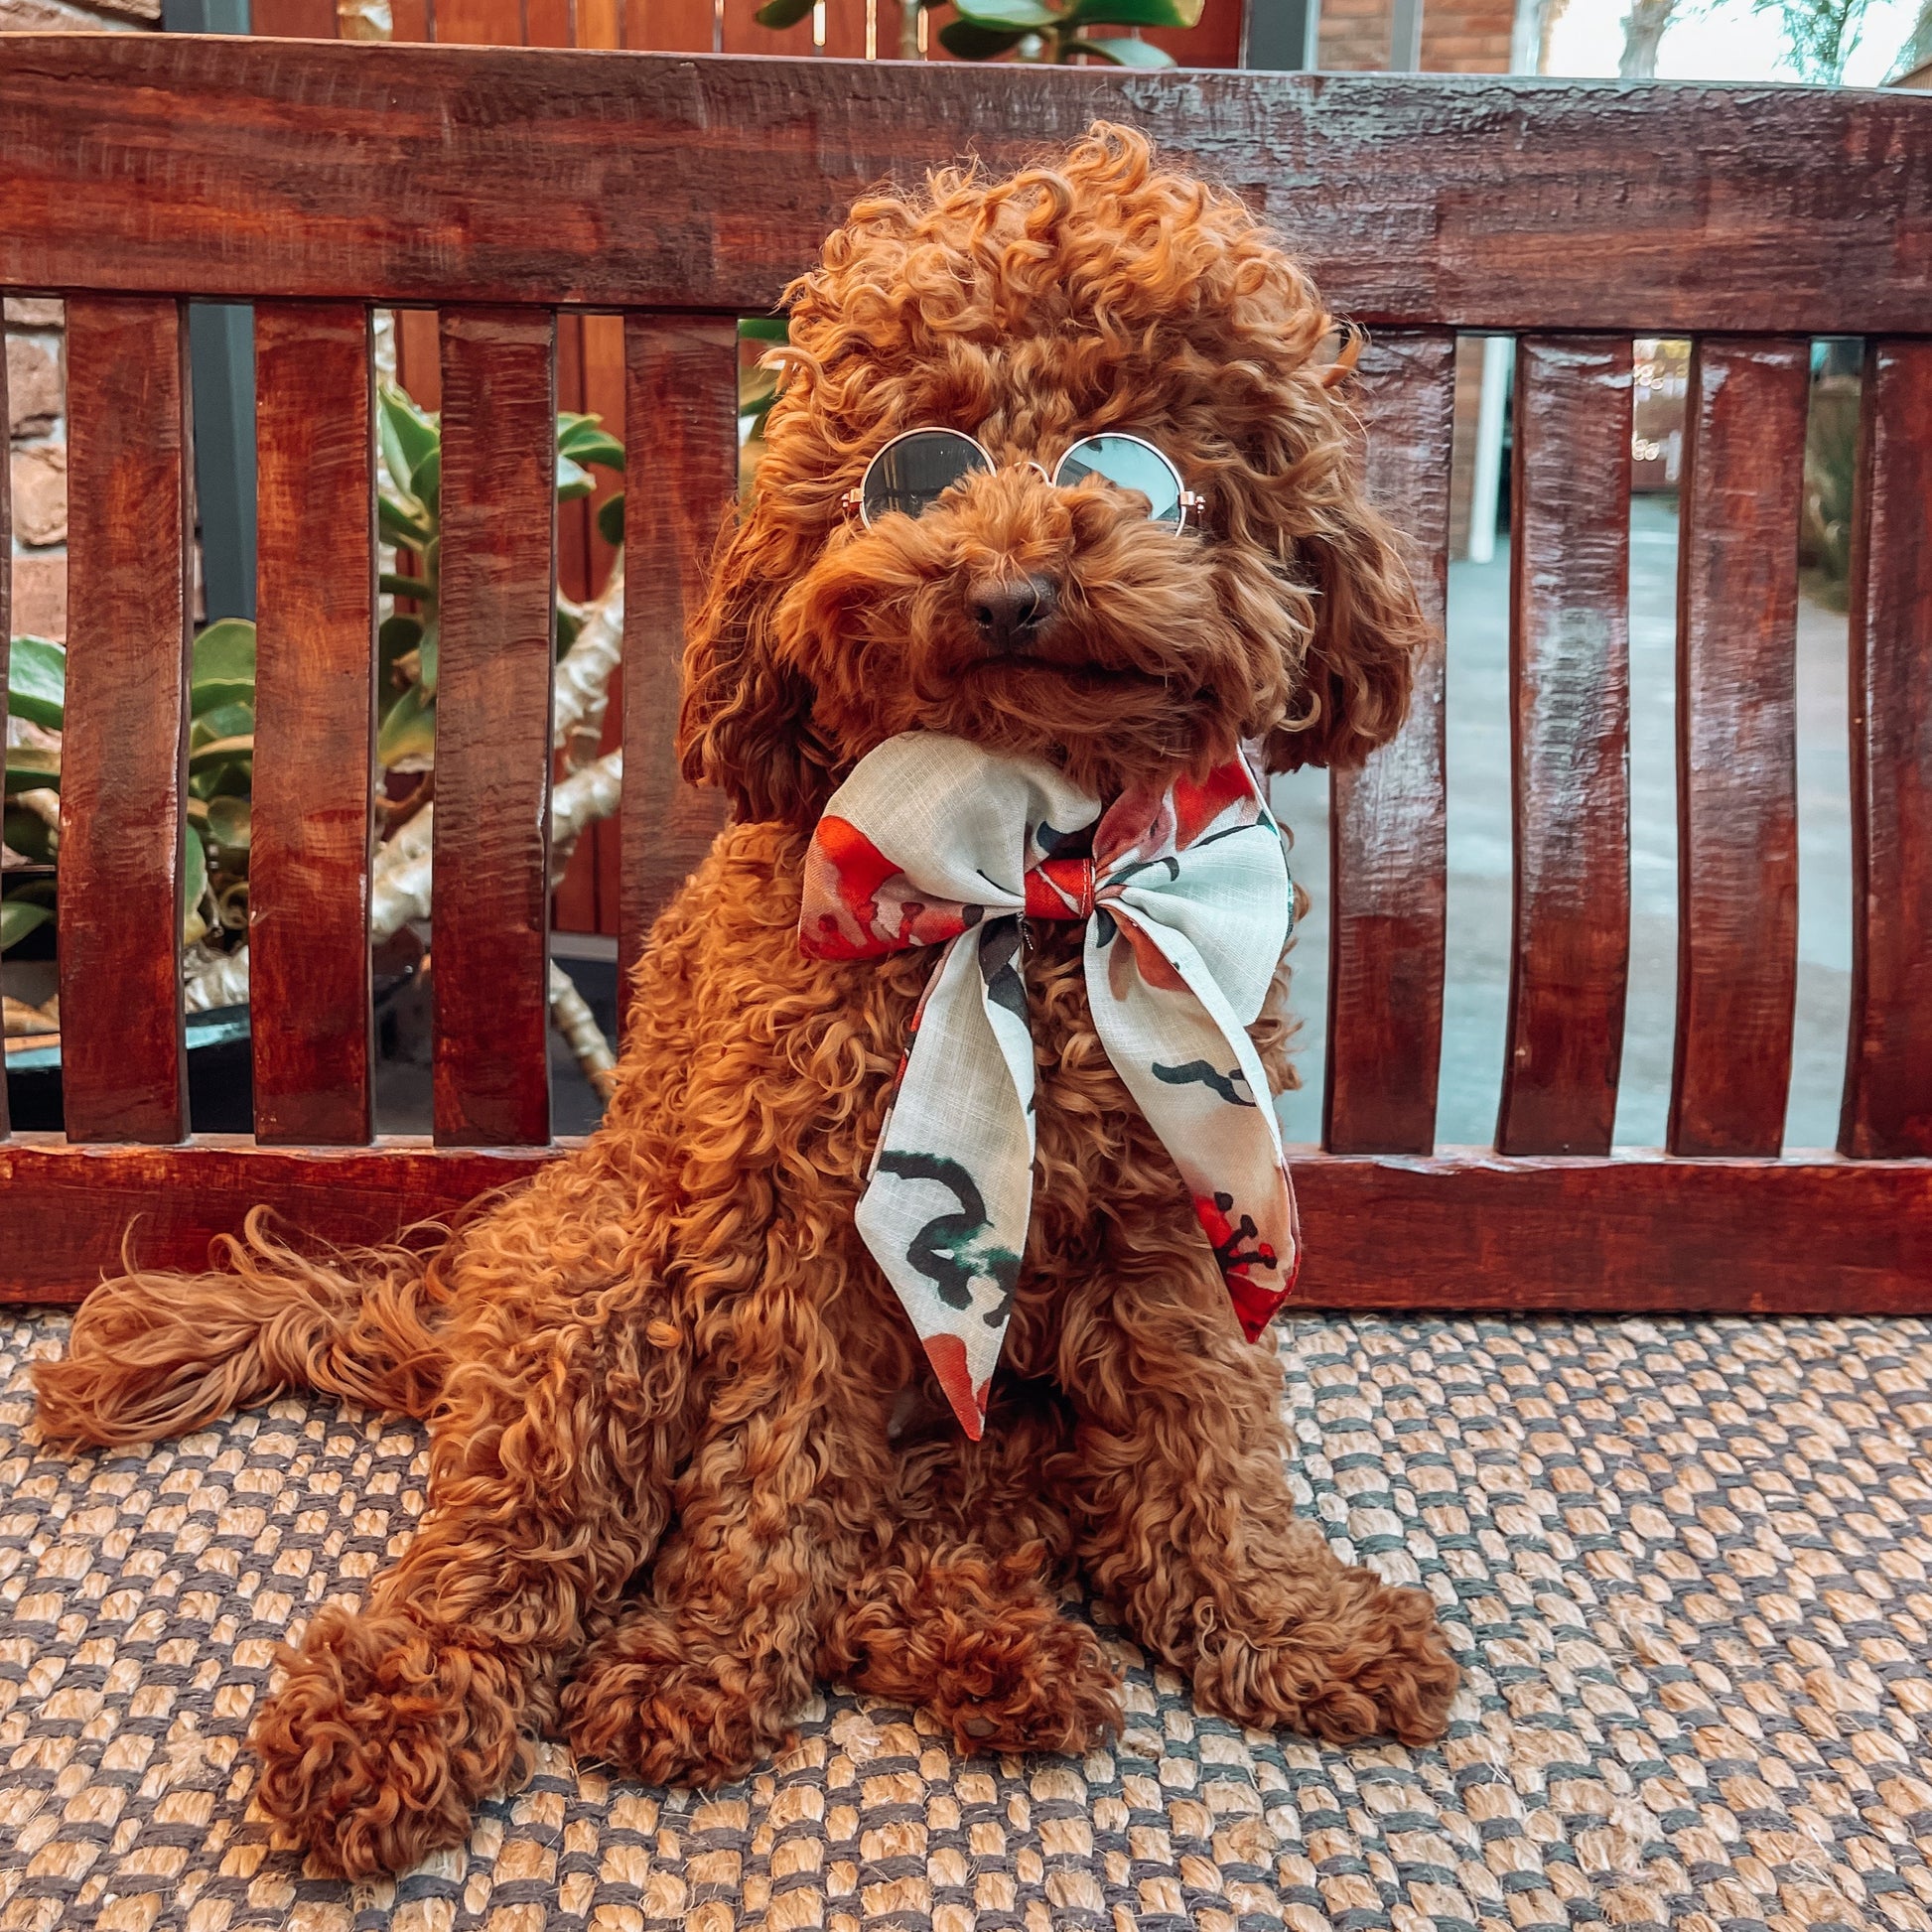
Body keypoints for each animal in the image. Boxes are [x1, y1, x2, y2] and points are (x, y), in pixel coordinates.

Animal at [37, 120, 1452, 1869]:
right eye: (913, 462)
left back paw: (996, 1653)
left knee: (924, 1541)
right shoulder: (792, 1226)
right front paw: (706, 1661)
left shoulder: (1177, 1214)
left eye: (1129, 464)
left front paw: (1286, 1623)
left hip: (994, 1429)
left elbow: (1207, 1443)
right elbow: (771, 1468)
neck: (1012, 859)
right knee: (509, 1555)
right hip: (598, 1300)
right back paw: (391, 1715)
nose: (1008, 586)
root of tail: (440, 1308)